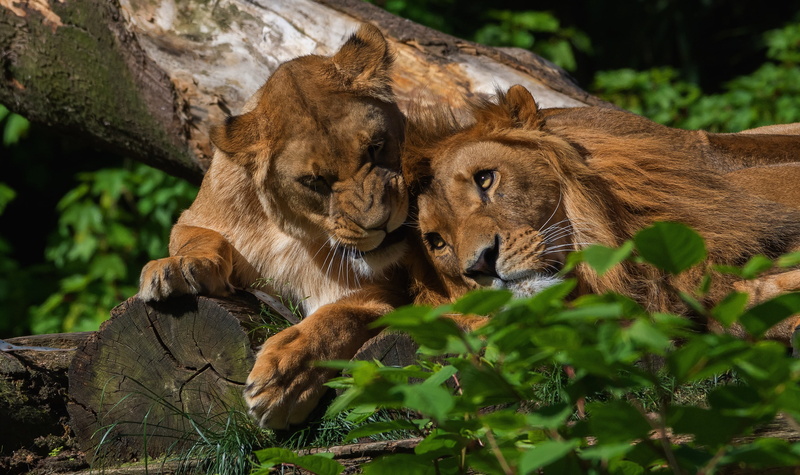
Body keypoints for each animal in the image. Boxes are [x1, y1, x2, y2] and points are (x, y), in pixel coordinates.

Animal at [138, 24, 412, 429]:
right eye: (315, 182)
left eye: (376, 147)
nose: (384, 224)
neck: (293, 231)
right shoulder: (193, 217)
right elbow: (202, 238)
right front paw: (174, 268)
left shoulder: (391, 295)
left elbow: (338, 318)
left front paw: (285, 379)